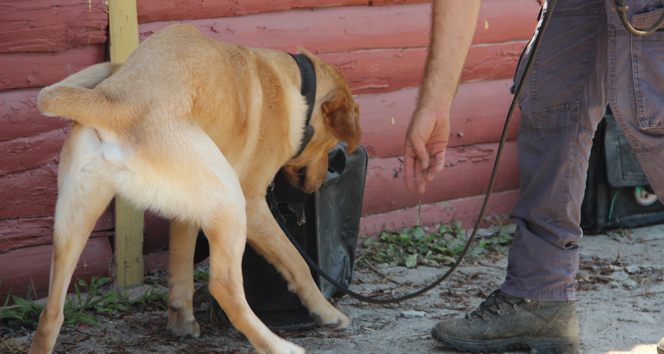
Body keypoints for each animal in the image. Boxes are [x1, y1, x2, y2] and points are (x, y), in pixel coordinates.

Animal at [29, 24, 364, 354]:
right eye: (333, 143)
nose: (323, 179)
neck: (296, 85)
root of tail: (117, 104)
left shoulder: (186, 210)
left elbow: (180, 269)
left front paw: (181, 322)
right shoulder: (254, 204)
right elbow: (297, 262)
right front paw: (326, 312)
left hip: (75, 222)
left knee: (51, 314)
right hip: (230, 200)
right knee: (224, 286)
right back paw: (277, 346)